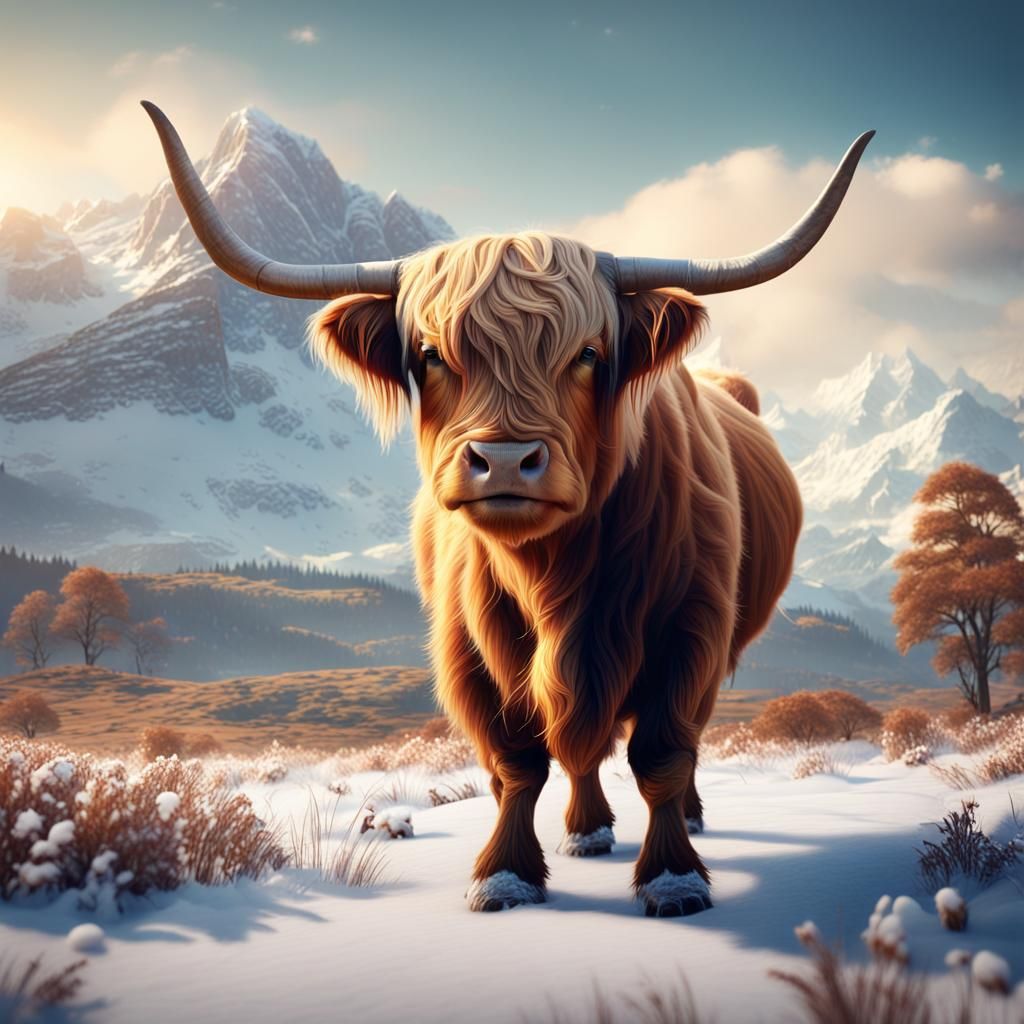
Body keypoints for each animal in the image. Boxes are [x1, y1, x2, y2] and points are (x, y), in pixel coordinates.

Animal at [143, 102, 871, 915]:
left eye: (588, 353)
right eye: (431, 354)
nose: (503, 460)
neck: (556, 581)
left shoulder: (692, 630)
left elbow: (661, 752)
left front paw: (674, 877)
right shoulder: (468, 648)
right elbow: (518, 762)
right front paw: (506, 874)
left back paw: (684, 818)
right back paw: (586, 829)